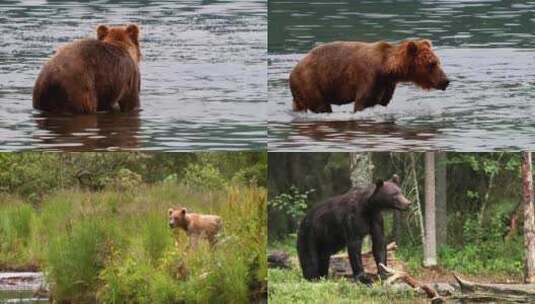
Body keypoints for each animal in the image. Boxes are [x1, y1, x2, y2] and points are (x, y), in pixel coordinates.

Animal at [292, 39, 450, 113]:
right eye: (431, 64)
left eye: (437, 62)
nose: (445, 81)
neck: (387, 69)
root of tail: (293, 71)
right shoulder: (369, 78)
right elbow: (362, 103)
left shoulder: (387, 85)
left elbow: (383, 101)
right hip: (311, 82)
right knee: (321, 106)